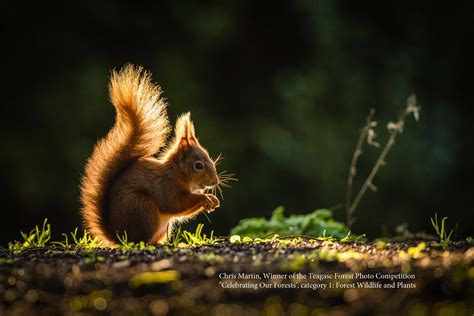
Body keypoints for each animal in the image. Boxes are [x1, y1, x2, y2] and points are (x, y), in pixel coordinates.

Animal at [81, 64, 220, 247]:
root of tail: (119, 236)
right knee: (141, 240)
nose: (215, 181)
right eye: (198, 166)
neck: (178, 173)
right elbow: (175, 204)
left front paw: (213, 199)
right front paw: (205, 198)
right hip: (143, 208)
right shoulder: (166, 187)